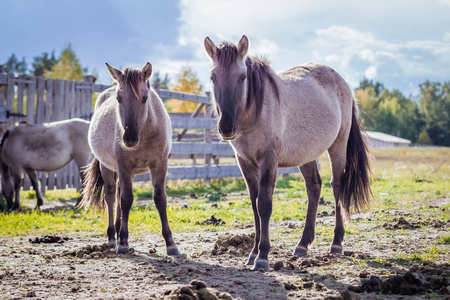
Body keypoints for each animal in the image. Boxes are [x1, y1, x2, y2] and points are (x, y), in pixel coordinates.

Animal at [80, 62, 180, 254]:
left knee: (119, 194)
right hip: (108, 167)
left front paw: (171, 244)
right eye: (119, 98)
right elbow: (126, 200)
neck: (145, 133)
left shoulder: (160, 165)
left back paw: (118, 232)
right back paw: (113, 238)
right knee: (112, 195)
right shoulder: (123, 166)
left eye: (144, 98)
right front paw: (124, 242)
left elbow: (160, 199)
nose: (130, 138)